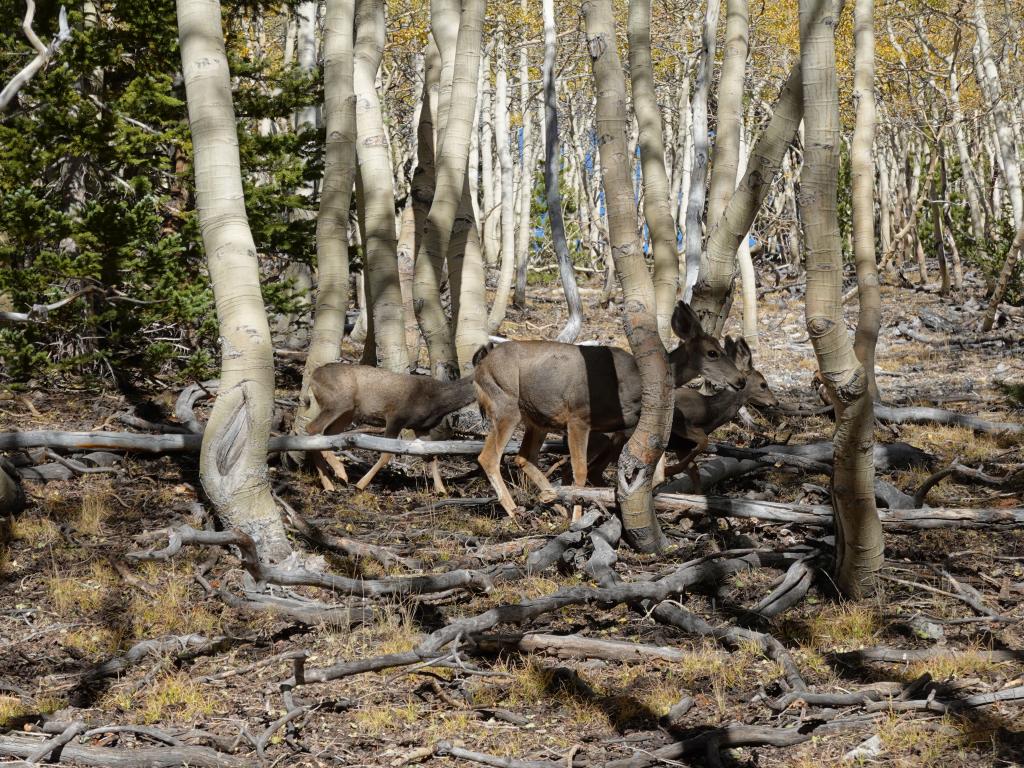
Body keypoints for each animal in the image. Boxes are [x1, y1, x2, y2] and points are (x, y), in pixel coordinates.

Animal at [305, 364, 477, 493]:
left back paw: (330, 484)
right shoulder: (396, 417)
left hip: (348, 412)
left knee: (327, 434)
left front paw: (441, 490)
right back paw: (341, 472)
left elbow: (431, 455)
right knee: (312, 428)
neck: (437, 402)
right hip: (338, 401)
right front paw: (361, 485)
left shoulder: (422, 427)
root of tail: (313, 375)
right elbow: (386, 454)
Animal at [471, 301, 745, 518]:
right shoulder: (578, 416)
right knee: (489, 457)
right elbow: (581, 470)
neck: (632, 383)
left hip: (537, 419)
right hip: (505, 404)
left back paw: (552, 502)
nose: (740, 380)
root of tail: (479, 368)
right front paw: (577, 517)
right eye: (712, 352)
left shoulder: (621, 426)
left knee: (523, 457)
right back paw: (516, 511)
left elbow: (649, 468)